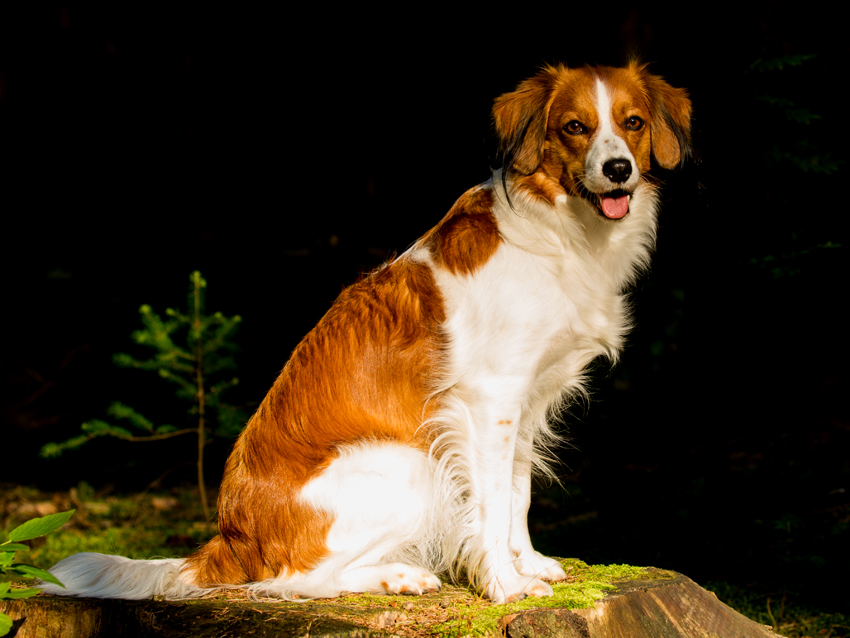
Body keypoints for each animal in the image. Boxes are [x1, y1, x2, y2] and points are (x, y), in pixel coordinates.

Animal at [41, 62, 688, 608]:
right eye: (575, 128)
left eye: (632, 123)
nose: (618, 170)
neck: (564, 232)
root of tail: (228, 539)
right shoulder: (488, 400)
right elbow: (491, 500)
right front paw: (505, 584)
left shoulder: (526, 402)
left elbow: (518, 493)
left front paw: (525, 563)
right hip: (408, 463)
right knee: (294, 581)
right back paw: (396, 575)